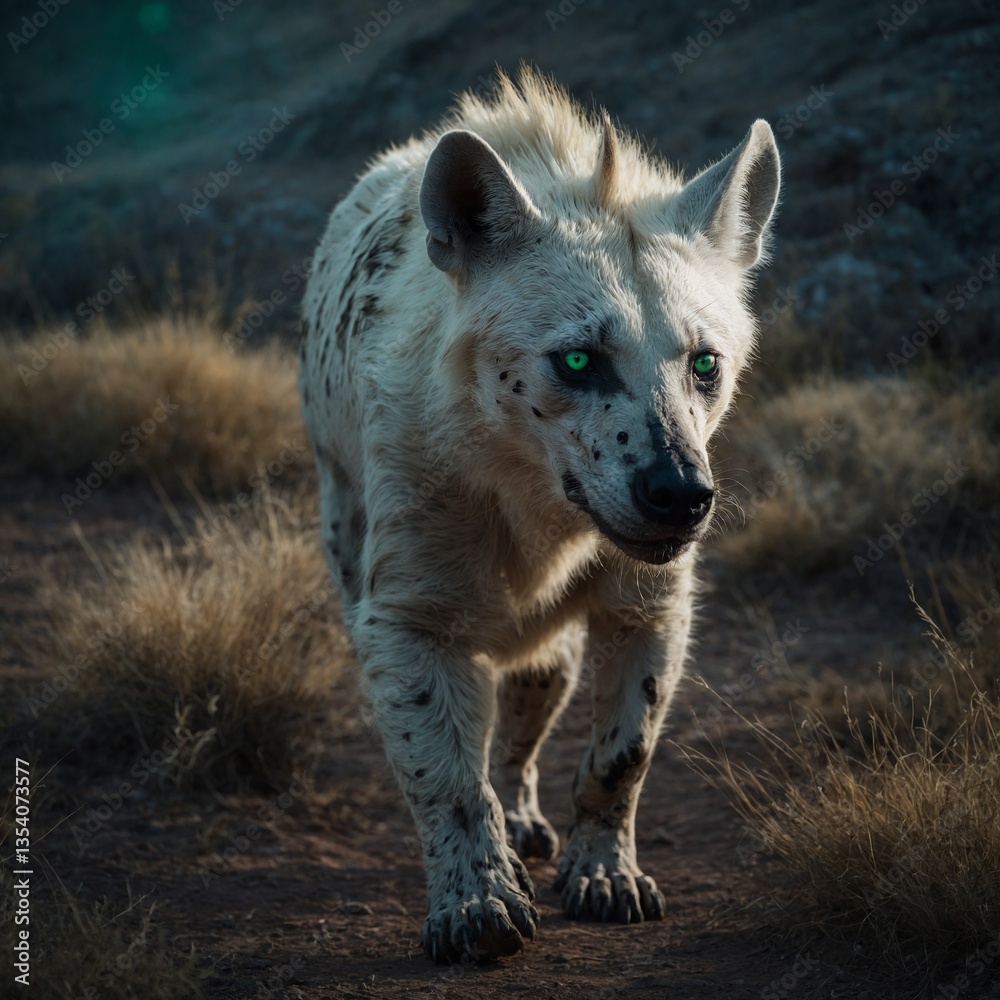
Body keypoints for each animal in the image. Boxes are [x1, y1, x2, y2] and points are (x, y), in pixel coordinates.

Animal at [299, 68, 780, 963]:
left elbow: (623, 752)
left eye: (704, 363)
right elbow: (445, 775)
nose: (679, 492)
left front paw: (606, 879)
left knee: (531, 699)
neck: (536, 514)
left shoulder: (650, 601)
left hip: (546, 650)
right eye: (578, 359)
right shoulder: (406, 612)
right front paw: (478, 911)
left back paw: (527, 825)